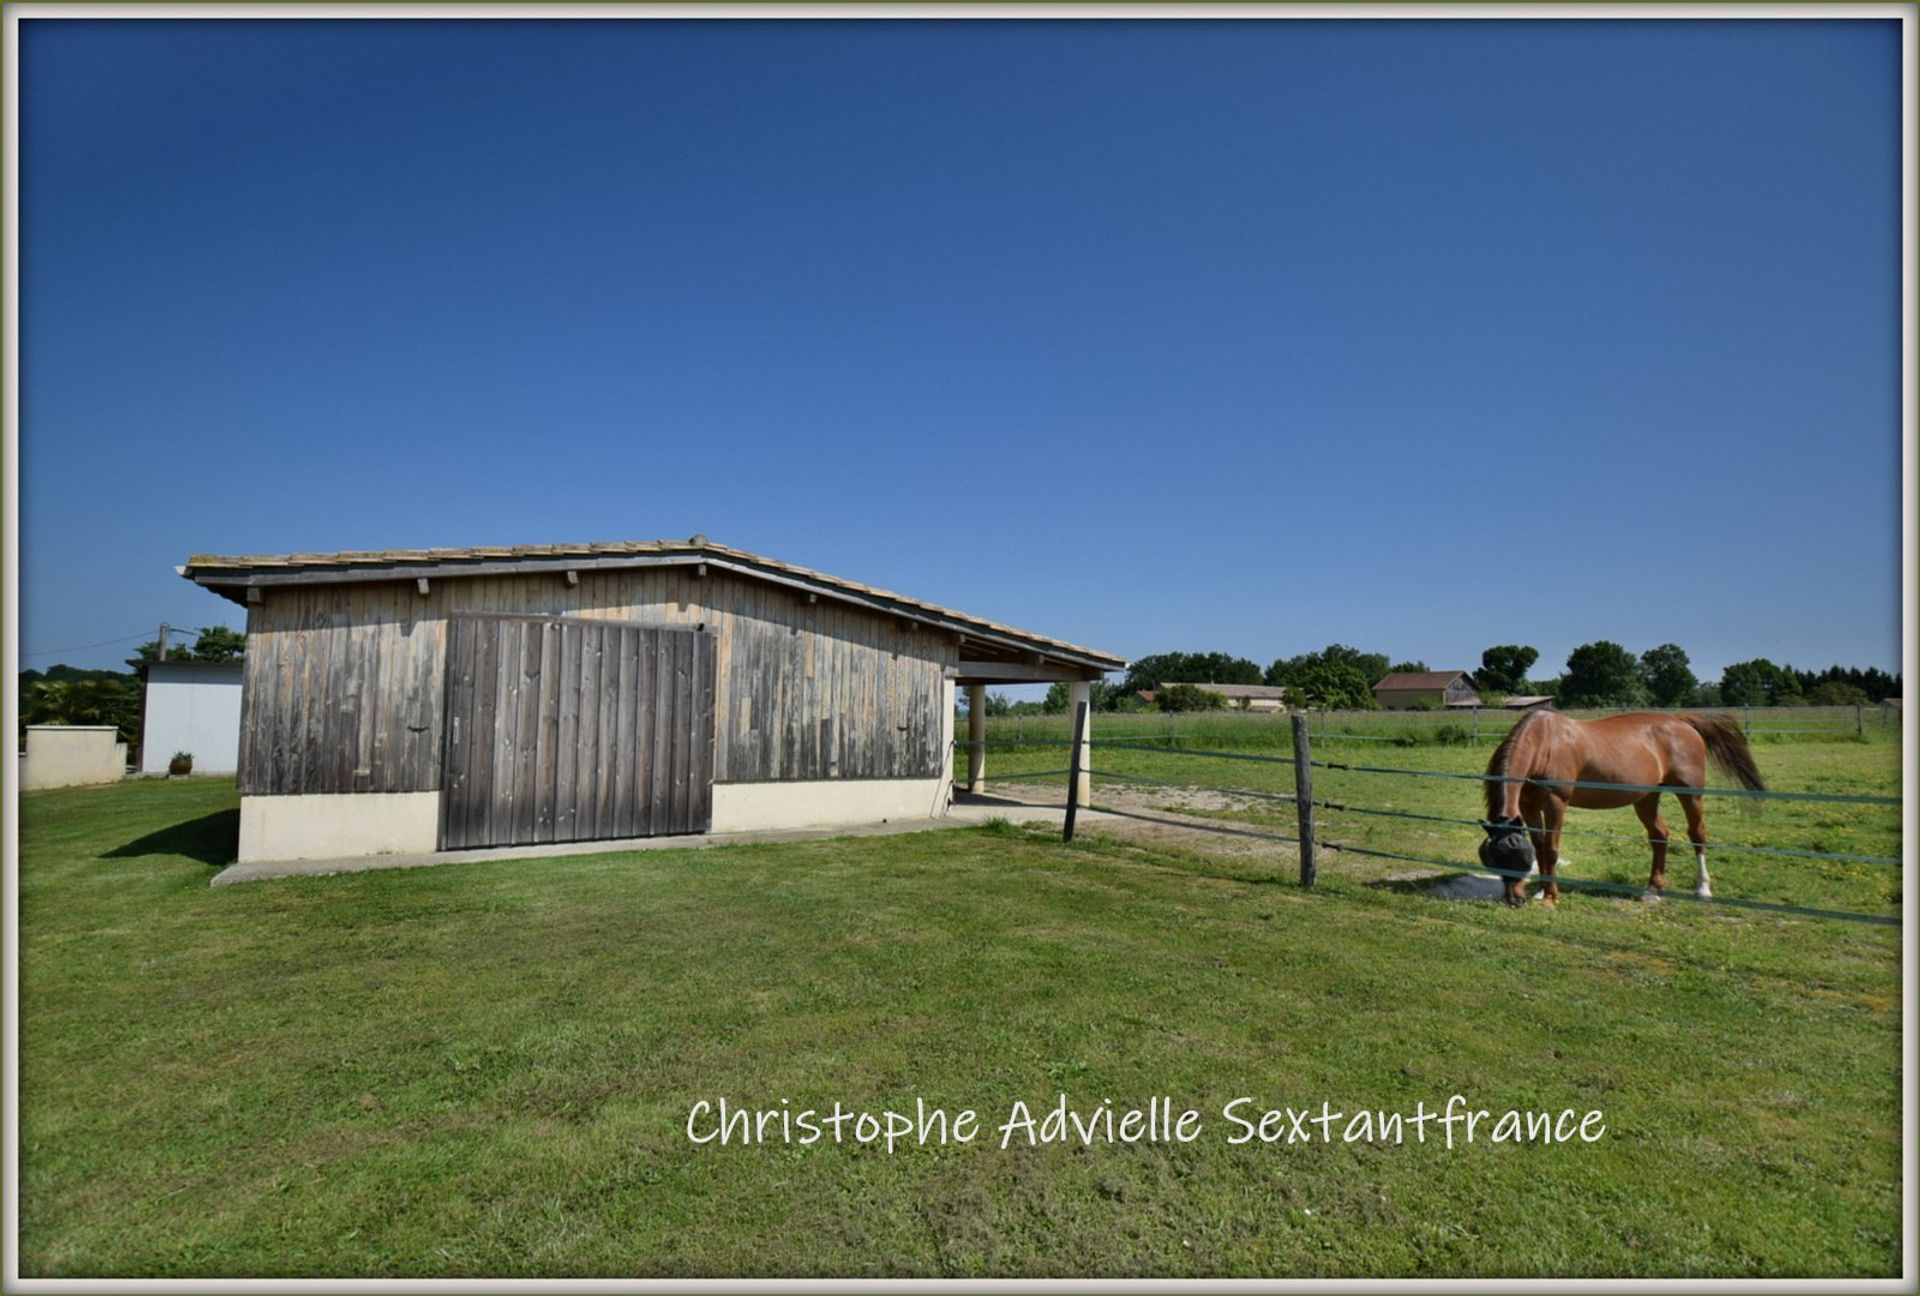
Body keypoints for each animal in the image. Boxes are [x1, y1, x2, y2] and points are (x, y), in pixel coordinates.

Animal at [1482, 710, 1766, 913]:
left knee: (1697, 835)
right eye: (1494, 858)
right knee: (1660, 836)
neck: (1544, 742)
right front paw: (1542, 890)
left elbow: (1551, 849)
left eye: (1518, 857)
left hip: (1691, 795)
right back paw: (1653, 889)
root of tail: (1681, 721)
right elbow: (1540, 847)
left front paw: (1550, 897)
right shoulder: (1529, 806)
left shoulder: (1555, 803)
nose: (1513, 900)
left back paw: (1703, 888)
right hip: (1647, 798)